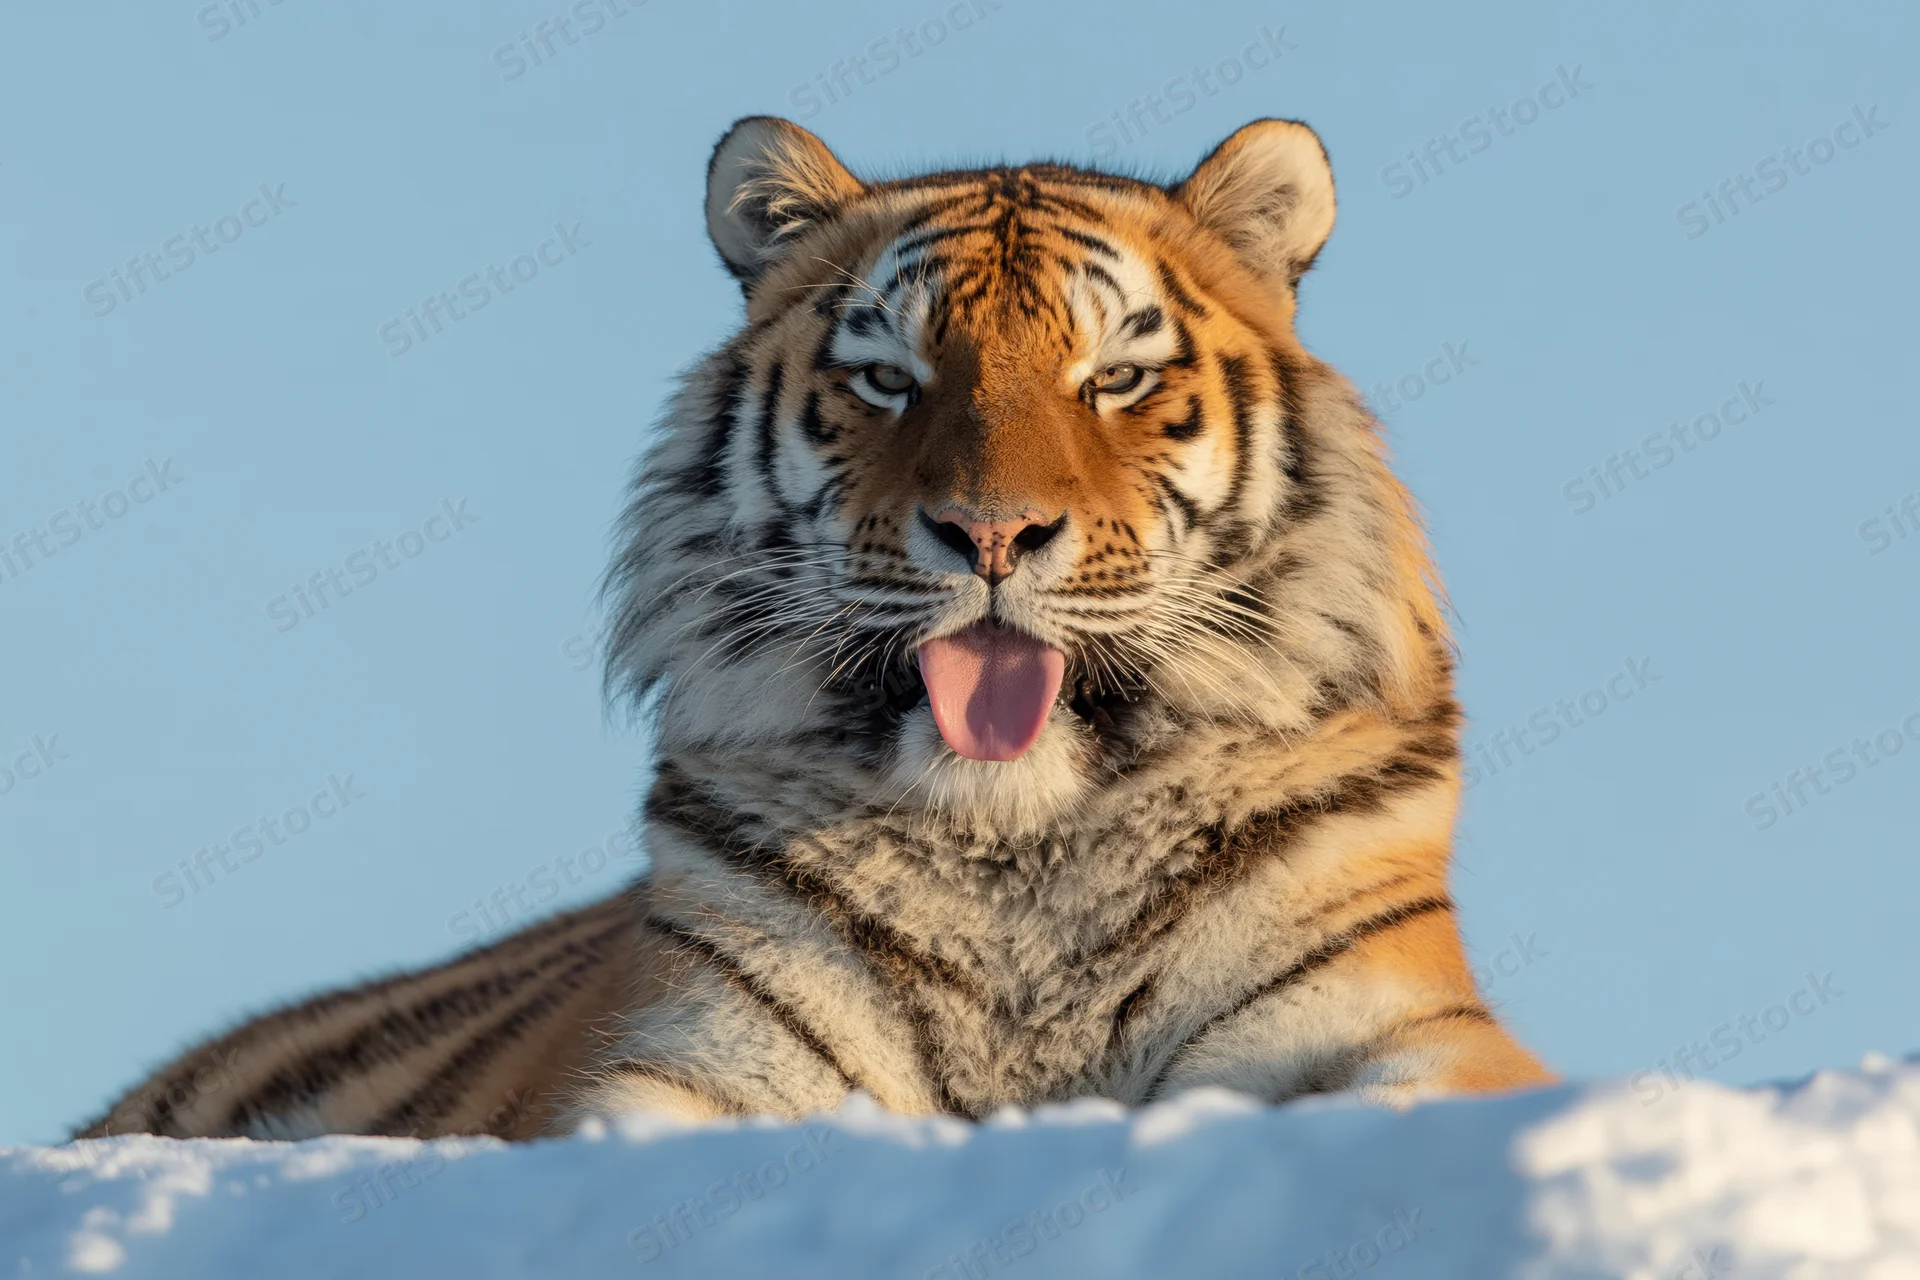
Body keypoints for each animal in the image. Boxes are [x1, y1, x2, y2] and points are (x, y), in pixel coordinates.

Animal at [76, 115, 1551, 1145]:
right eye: (889, 379)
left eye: (1118, 376)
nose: (993, 535)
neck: (1019, 844)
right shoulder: (695, 1062)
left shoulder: (1401, 1031)